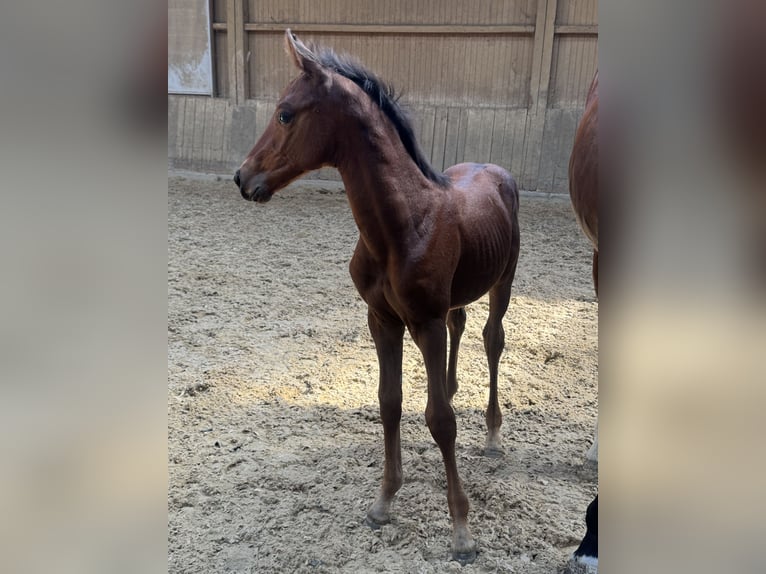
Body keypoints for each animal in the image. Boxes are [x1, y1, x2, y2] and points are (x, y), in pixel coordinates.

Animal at [233, 30, 520, 564]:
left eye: (285, 113)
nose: (242, 178)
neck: (399, 229)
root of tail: (494, 168)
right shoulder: (381, 320)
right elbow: (390, 402)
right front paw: (384, 501)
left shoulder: (423, 322)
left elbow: (440, 420)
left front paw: (462, 531)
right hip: (455, 298)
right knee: (461, 324)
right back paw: (453, 386)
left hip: (504, 281)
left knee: (493, 339)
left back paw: (493, 434)